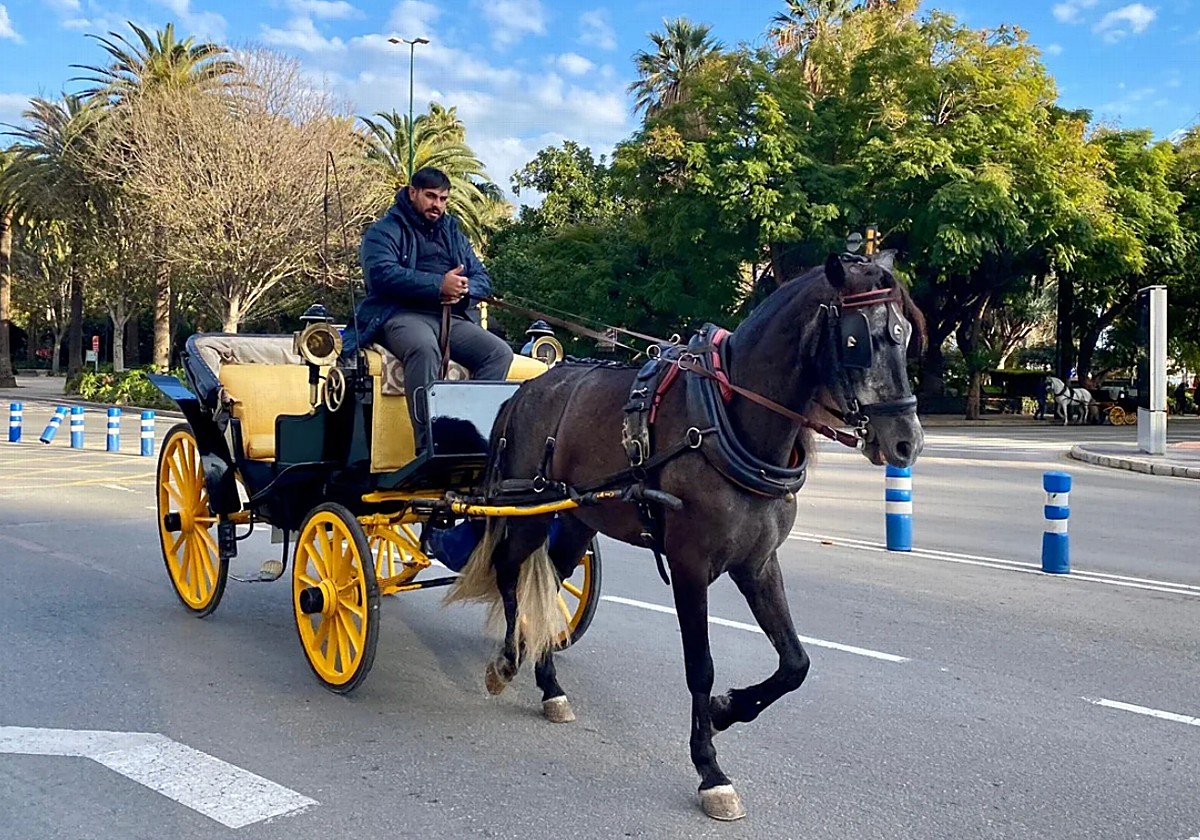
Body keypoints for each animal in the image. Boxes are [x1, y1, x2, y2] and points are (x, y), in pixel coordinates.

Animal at [445, 252, 926, 820]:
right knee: (509, 572)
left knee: (549, 585)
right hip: (529, 509)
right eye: (858, 340)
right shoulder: (689, 565)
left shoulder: (758, 563)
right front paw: (710, 769)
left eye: (905, 335)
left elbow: (795, 663)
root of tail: (528, 388)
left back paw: (549, 686)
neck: (728, 421)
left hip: (577, 520)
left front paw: (726, 710)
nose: (907, 442)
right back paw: (507, 661)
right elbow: (701, 666)